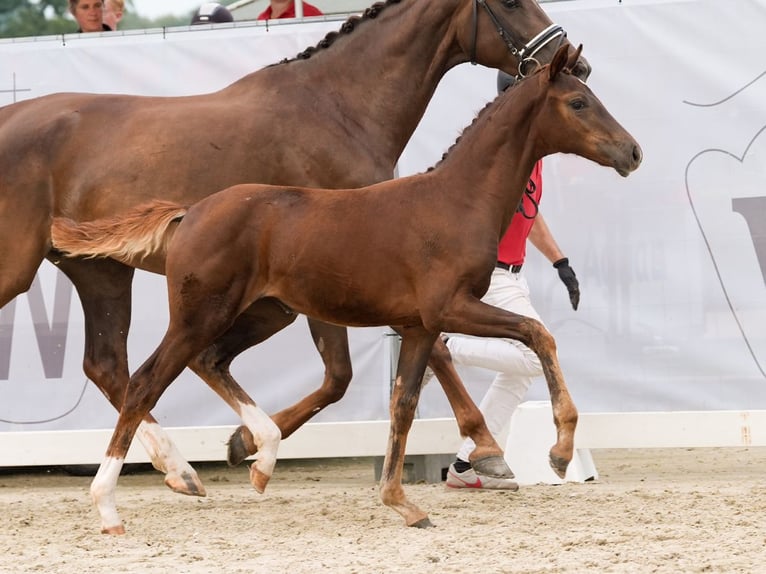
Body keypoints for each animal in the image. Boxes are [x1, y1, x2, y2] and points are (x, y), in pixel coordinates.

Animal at [0, 0, 592, 496]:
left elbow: (375, 365)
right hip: (26, 267)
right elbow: (385, 363)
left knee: (108, 366)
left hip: (101, 273)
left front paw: (245, 443)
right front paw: (487, 445)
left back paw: (180, 469)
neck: (338, 109)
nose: (575, 61)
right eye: (509, 1)